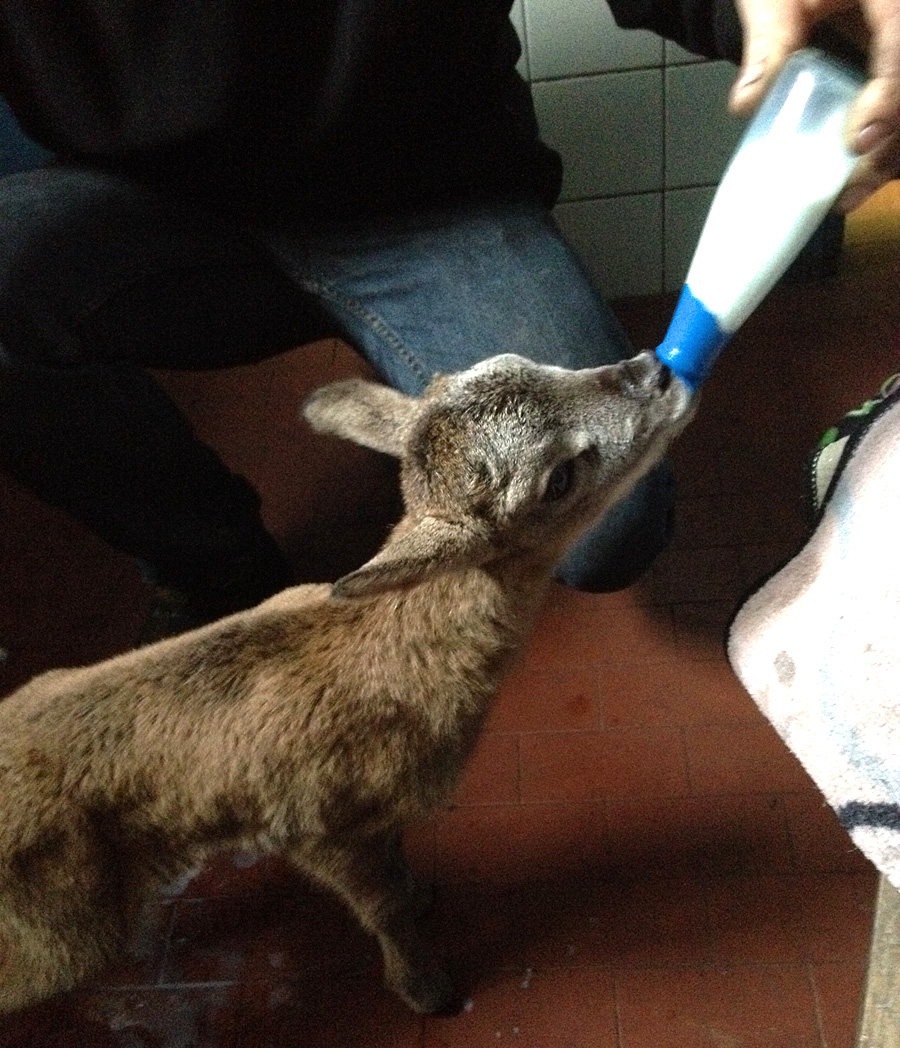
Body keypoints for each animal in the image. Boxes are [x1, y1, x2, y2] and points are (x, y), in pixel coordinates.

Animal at [0, 350, 693, 1016]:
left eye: (531, 361)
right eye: (558, 480)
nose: (657, 374)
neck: (392, 654)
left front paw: (422, 896)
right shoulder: (321, 828)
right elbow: (382, 908)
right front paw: (427, 991)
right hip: (61, 938)